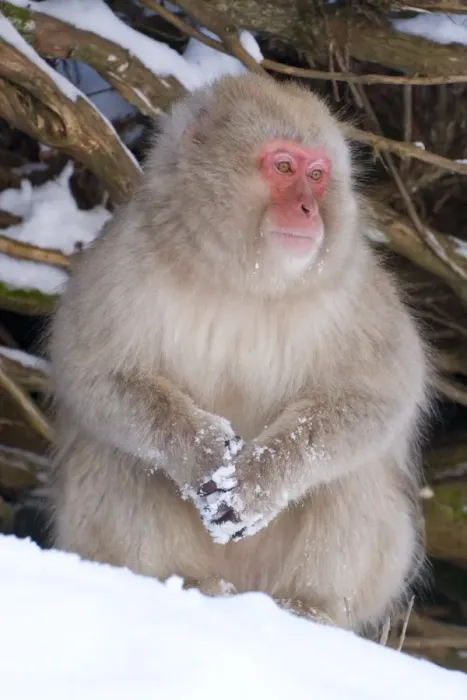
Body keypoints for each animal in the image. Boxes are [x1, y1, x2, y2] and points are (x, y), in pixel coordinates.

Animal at [47, 72, 431, 634]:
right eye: (284, 167)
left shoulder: (355, 285)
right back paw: (183, 583)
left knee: (355, 472)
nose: (309, 210)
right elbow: (95, 373)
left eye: (318, 175)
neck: (244, 279)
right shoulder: (123, 261)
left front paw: (258, 478)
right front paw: (200, 448)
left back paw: (308, 607)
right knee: (118, 453)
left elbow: (376, 399)